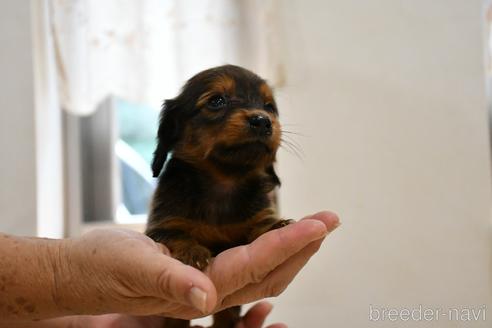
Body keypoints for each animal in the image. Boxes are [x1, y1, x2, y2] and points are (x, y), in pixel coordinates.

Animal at [146, 64, 292, 328]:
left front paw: (277, 225)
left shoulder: (255, 215)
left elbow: (260, 223)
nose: (262, 121)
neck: (224, 181)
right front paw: (193, 252)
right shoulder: (162, 226)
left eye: (269, 107)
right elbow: (178, 234)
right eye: (216, 101)